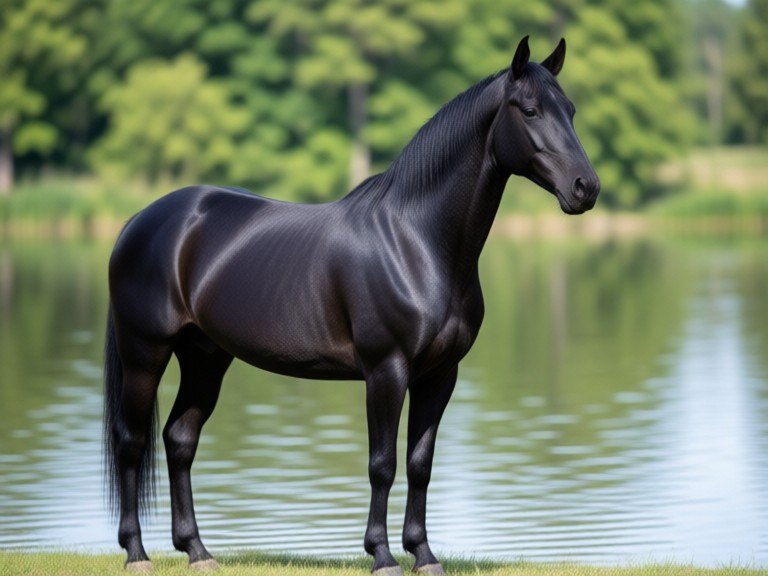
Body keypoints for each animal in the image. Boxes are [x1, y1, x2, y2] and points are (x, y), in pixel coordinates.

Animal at [103, 36, 599, 575]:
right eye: (529, 110)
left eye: (570, 110)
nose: (586, 188)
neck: (415, 242)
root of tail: (139, 220)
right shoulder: (386, 371)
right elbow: (382, 464)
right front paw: (381, 555)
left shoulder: (440, 374)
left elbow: (419, 464)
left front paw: (423, 554)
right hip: (145, 353)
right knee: (131, 443)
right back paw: (136, 553)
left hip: (205, 357)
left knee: (180, 439)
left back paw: (197, 551)